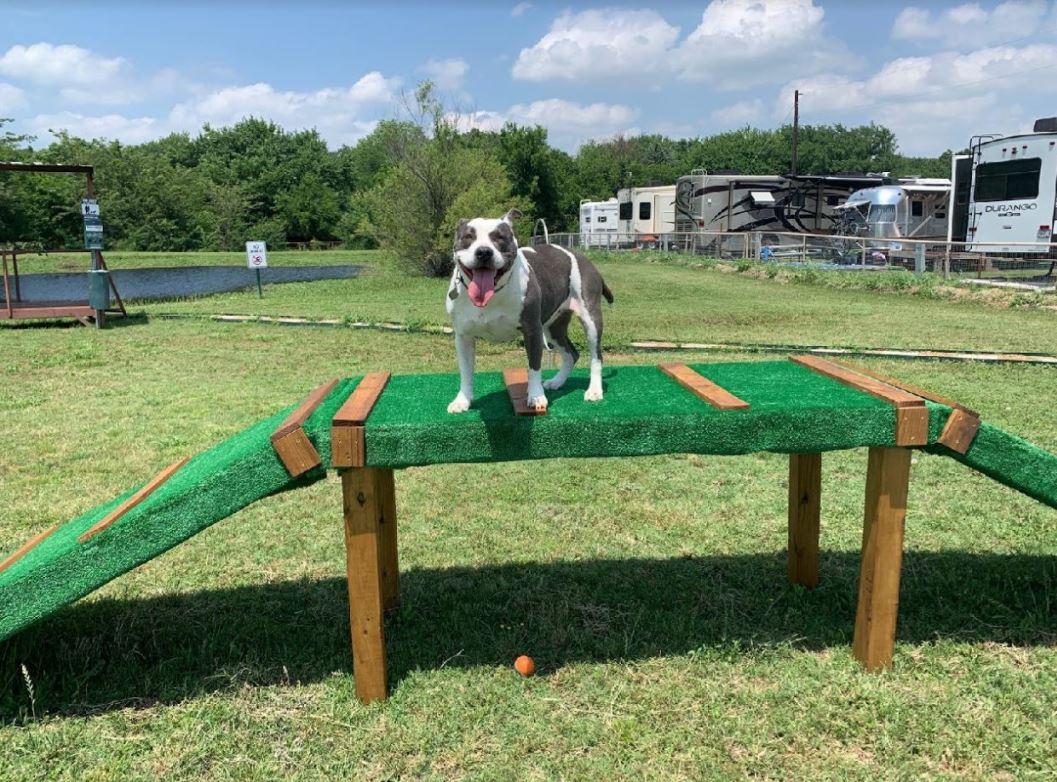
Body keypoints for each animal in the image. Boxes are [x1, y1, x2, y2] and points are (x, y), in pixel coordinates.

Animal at [443, 208, 613, 416]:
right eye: (469, 236)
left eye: (499, 238)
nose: (483, 252)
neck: (494, 294)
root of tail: (580, 255)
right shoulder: (464, 337)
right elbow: (466, 372)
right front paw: (463, 400)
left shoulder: (532, 331)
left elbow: (534, 366)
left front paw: (536, 397)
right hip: (553, 327)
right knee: (571, 354)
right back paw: (556, 382)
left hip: (591, 320)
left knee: (596, 355)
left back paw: (594, 390)